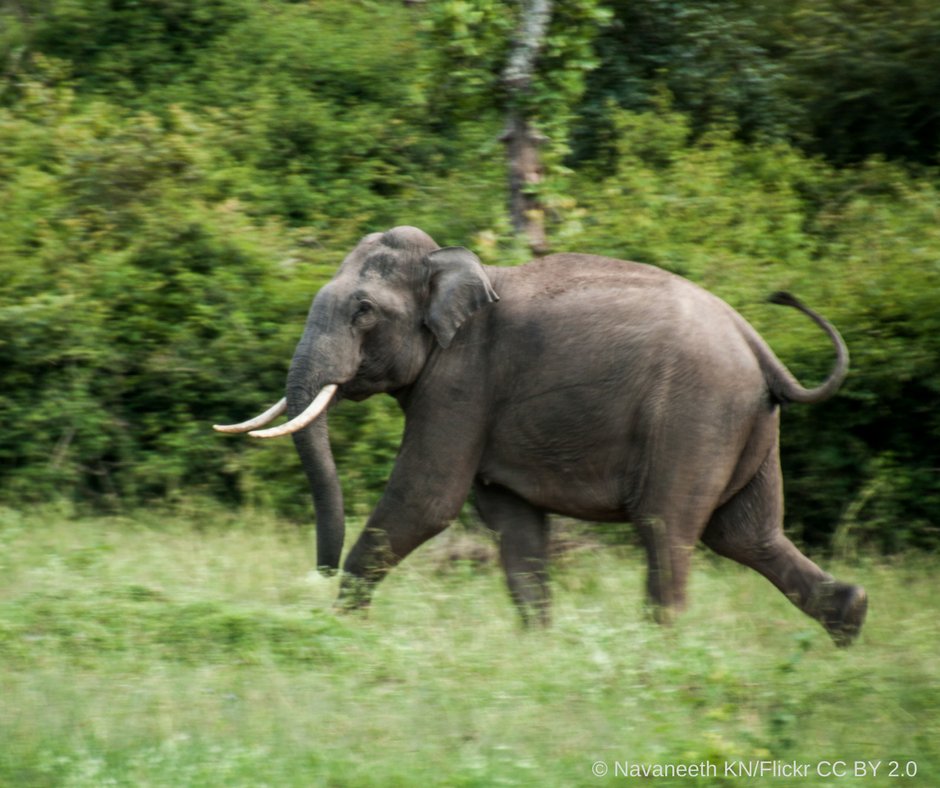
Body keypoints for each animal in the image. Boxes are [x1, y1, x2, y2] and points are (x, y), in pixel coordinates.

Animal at [214, 225, 867, 646]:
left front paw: (346, 624)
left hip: (695, 414)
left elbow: (427, 499)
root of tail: (759, 346)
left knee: (669, 528)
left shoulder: (462, 381)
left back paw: (658, 652)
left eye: (364, 312)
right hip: (747, 424)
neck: (454, 265)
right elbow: (512, 521)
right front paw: (540, 648)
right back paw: (849, 623)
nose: (319, 578)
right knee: (747, 534)